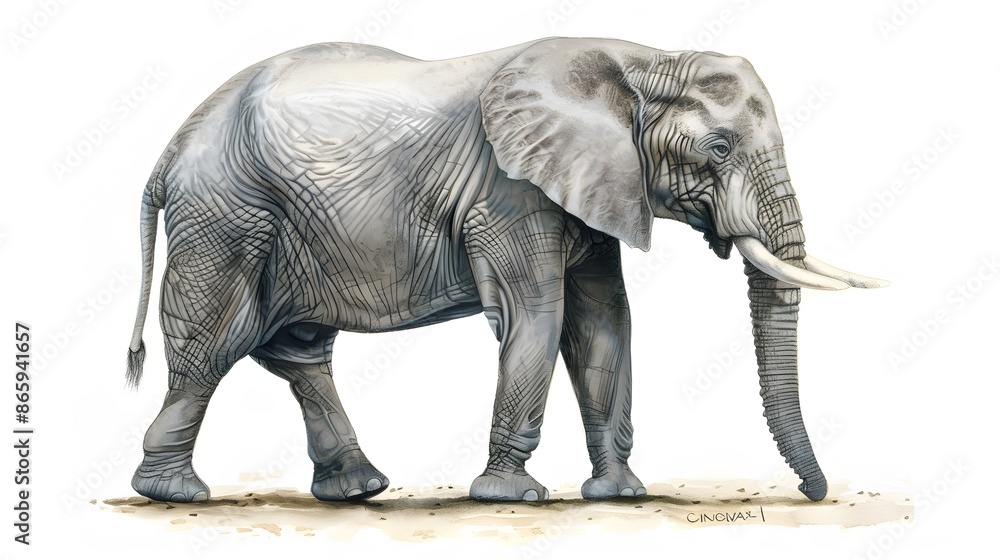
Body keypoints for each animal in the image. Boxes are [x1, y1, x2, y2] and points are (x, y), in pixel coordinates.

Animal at [124, 37, 886, 504]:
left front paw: (620, 494)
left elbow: (604, 324)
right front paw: (513, 495)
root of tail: (170, 148)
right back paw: (174, 493)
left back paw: (359, 489)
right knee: (213, 344)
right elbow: (538, 317)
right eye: (720, 147)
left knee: (298, 351)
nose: (812, 494)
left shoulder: (594, 187)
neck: (639, 61)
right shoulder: (510, 191)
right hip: (226, 217)